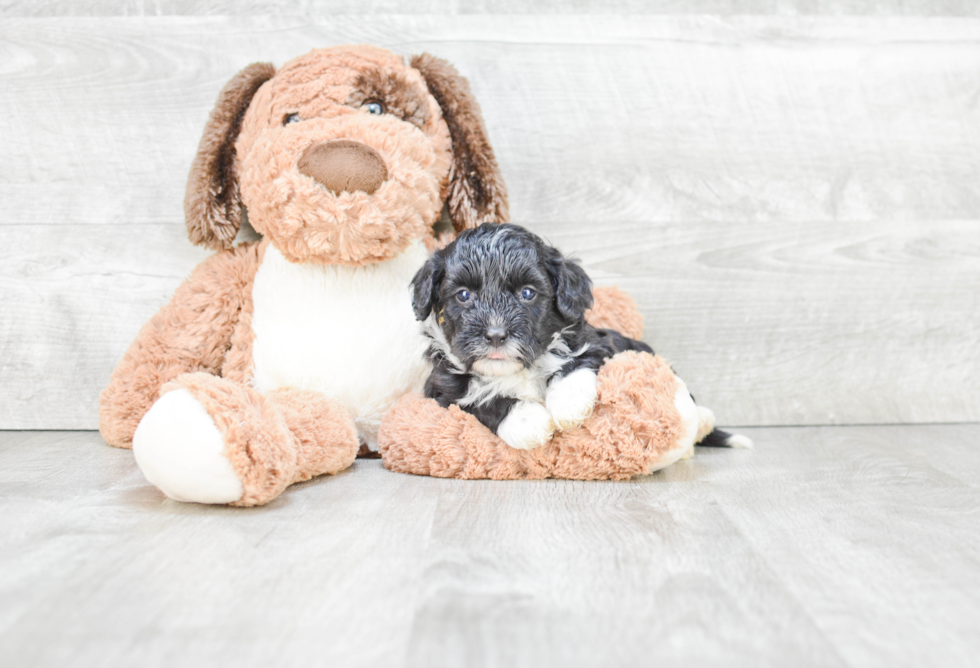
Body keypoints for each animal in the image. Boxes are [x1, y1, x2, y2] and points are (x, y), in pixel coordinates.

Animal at [410, 223, 656, 448]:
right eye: (463, 295)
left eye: (527, 293)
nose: (496, 335)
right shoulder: (442, 389)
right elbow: (479, 399)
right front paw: (527, 420)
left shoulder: (598, 341)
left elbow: (579, 359)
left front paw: (568, 402)